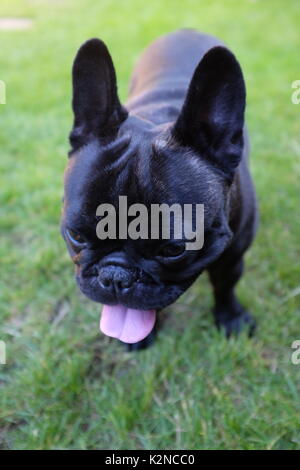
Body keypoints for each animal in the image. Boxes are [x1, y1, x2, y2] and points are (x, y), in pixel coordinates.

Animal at [61, 29, 258, 350]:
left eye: (173, 250)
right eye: (76, 235)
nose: (115, 275)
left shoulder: (233, 254)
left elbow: (225, 284)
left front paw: (231, 318)